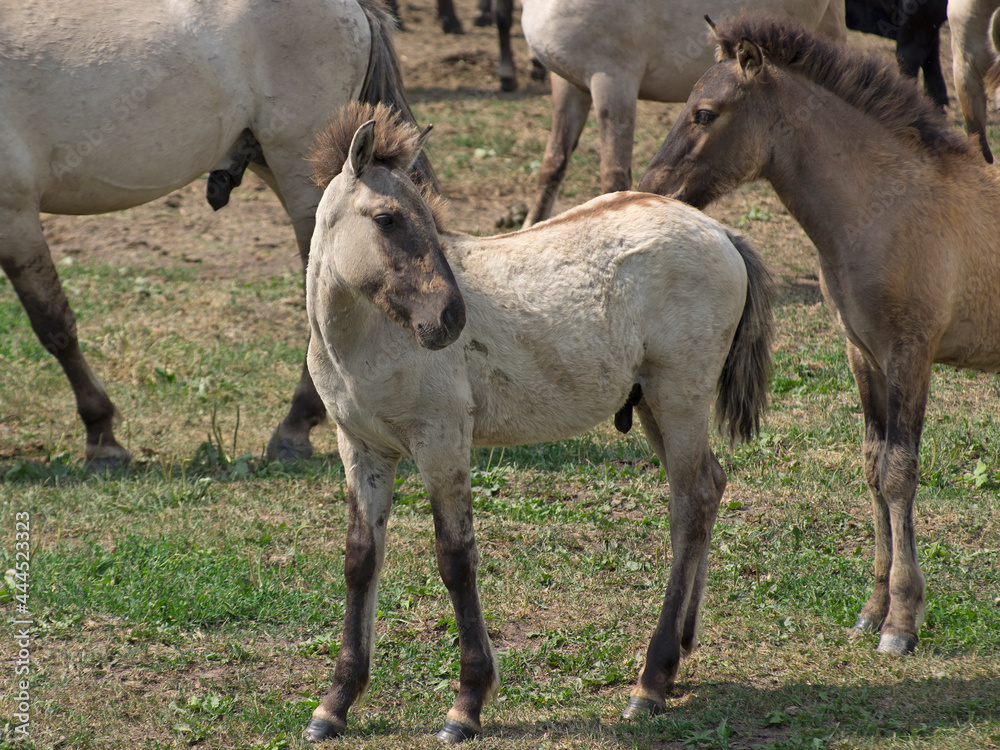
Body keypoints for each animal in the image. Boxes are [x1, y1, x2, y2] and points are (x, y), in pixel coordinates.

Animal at [0, 0, 432, 467]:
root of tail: (354, 8)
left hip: (303, 179)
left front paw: (102, 435)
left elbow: (53, 323)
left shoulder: (14, 215)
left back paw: (296, 426)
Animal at [301, 101, 775, 742]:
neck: (368, 339)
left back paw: (651, 680)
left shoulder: (441, 442)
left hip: (679, 398)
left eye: (428, 215)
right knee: (707, 488)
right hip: (653, 403)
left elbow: (455, 558)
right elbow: (359, 560)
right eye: (387, 218)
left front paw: (467, 704)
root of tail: (721, 231)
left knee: (693, 502)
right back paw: (678, 650)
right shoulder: (363, 448)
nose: (450, 318)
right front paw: (336, 702)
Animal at [518, 0, 847, 228]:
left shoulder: (612, 78)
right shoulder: (569, 83)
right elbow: (553, 163)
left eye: (704, 116)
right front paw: (531, 227)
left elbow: (613, 175)